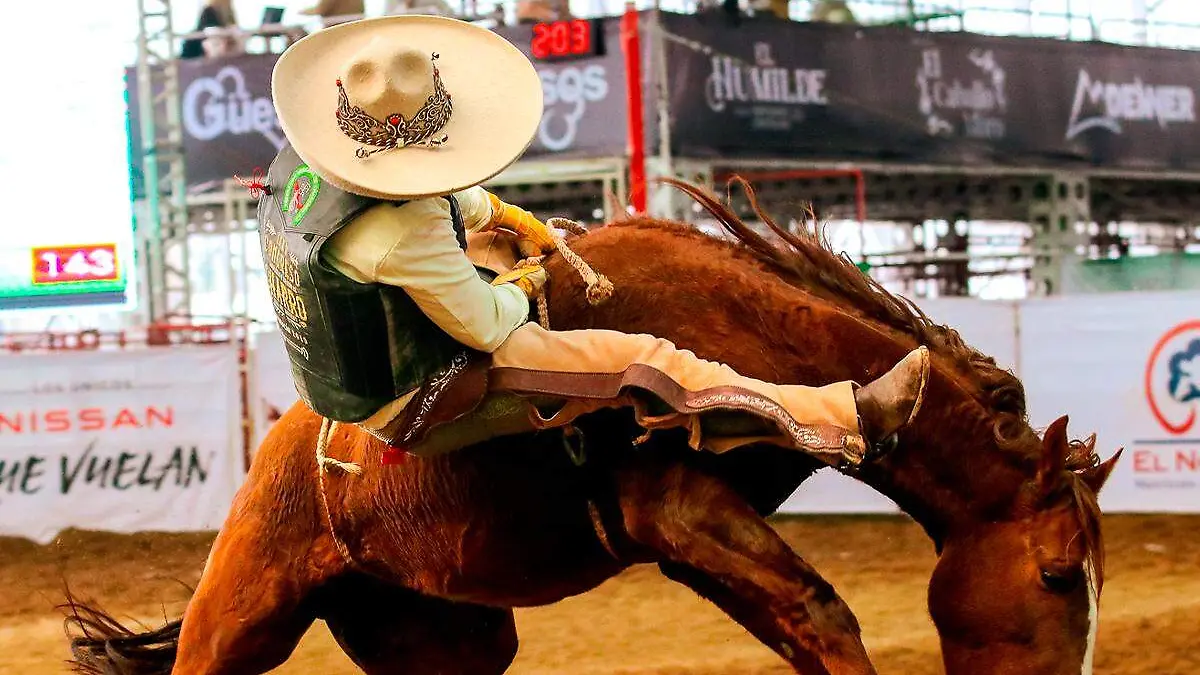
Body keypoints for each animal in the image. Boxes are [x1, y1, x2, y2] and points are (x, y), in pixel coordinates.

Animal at [64, 178, 1120, 675]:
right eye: (1057, 572)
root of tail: (292, 450)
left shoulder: (694, 535)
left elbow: (801, 620)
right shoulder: (675, 507)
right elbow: (822, 612)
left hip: (440, 629)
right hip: (242, 613)